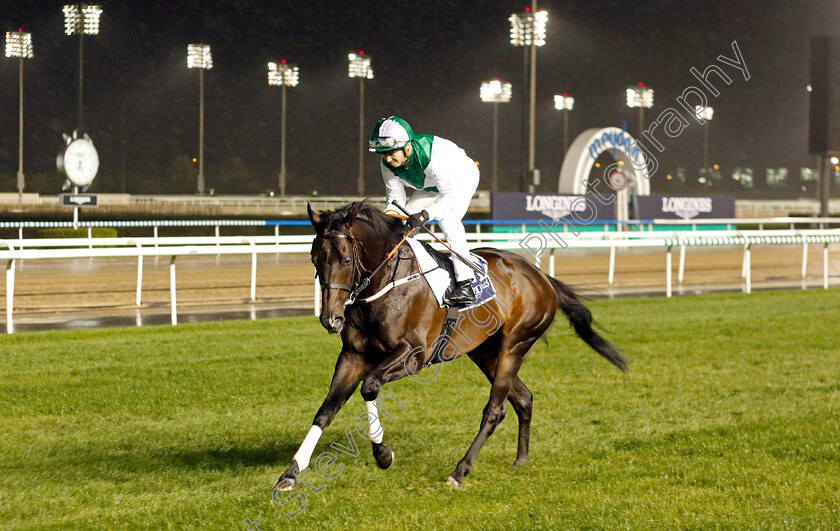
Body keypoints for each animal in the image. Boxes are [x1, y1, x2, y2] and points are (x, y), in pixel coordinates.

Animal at [276, 203, 624, 490]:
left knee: (495, 409)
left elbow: (370, 386)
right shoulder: (352, 356)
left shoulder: (413, 356)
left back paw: (459, 471)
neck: (385, 284)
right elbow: (325, 410)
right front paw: (290, 474)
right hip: (484, 351)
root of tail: (542, 277)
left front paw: (383, 453)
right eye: (314, 259)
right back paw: (520, 460)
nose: (331, 319)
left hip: (515, 345)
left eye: (347, 259)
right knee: (523, 399)